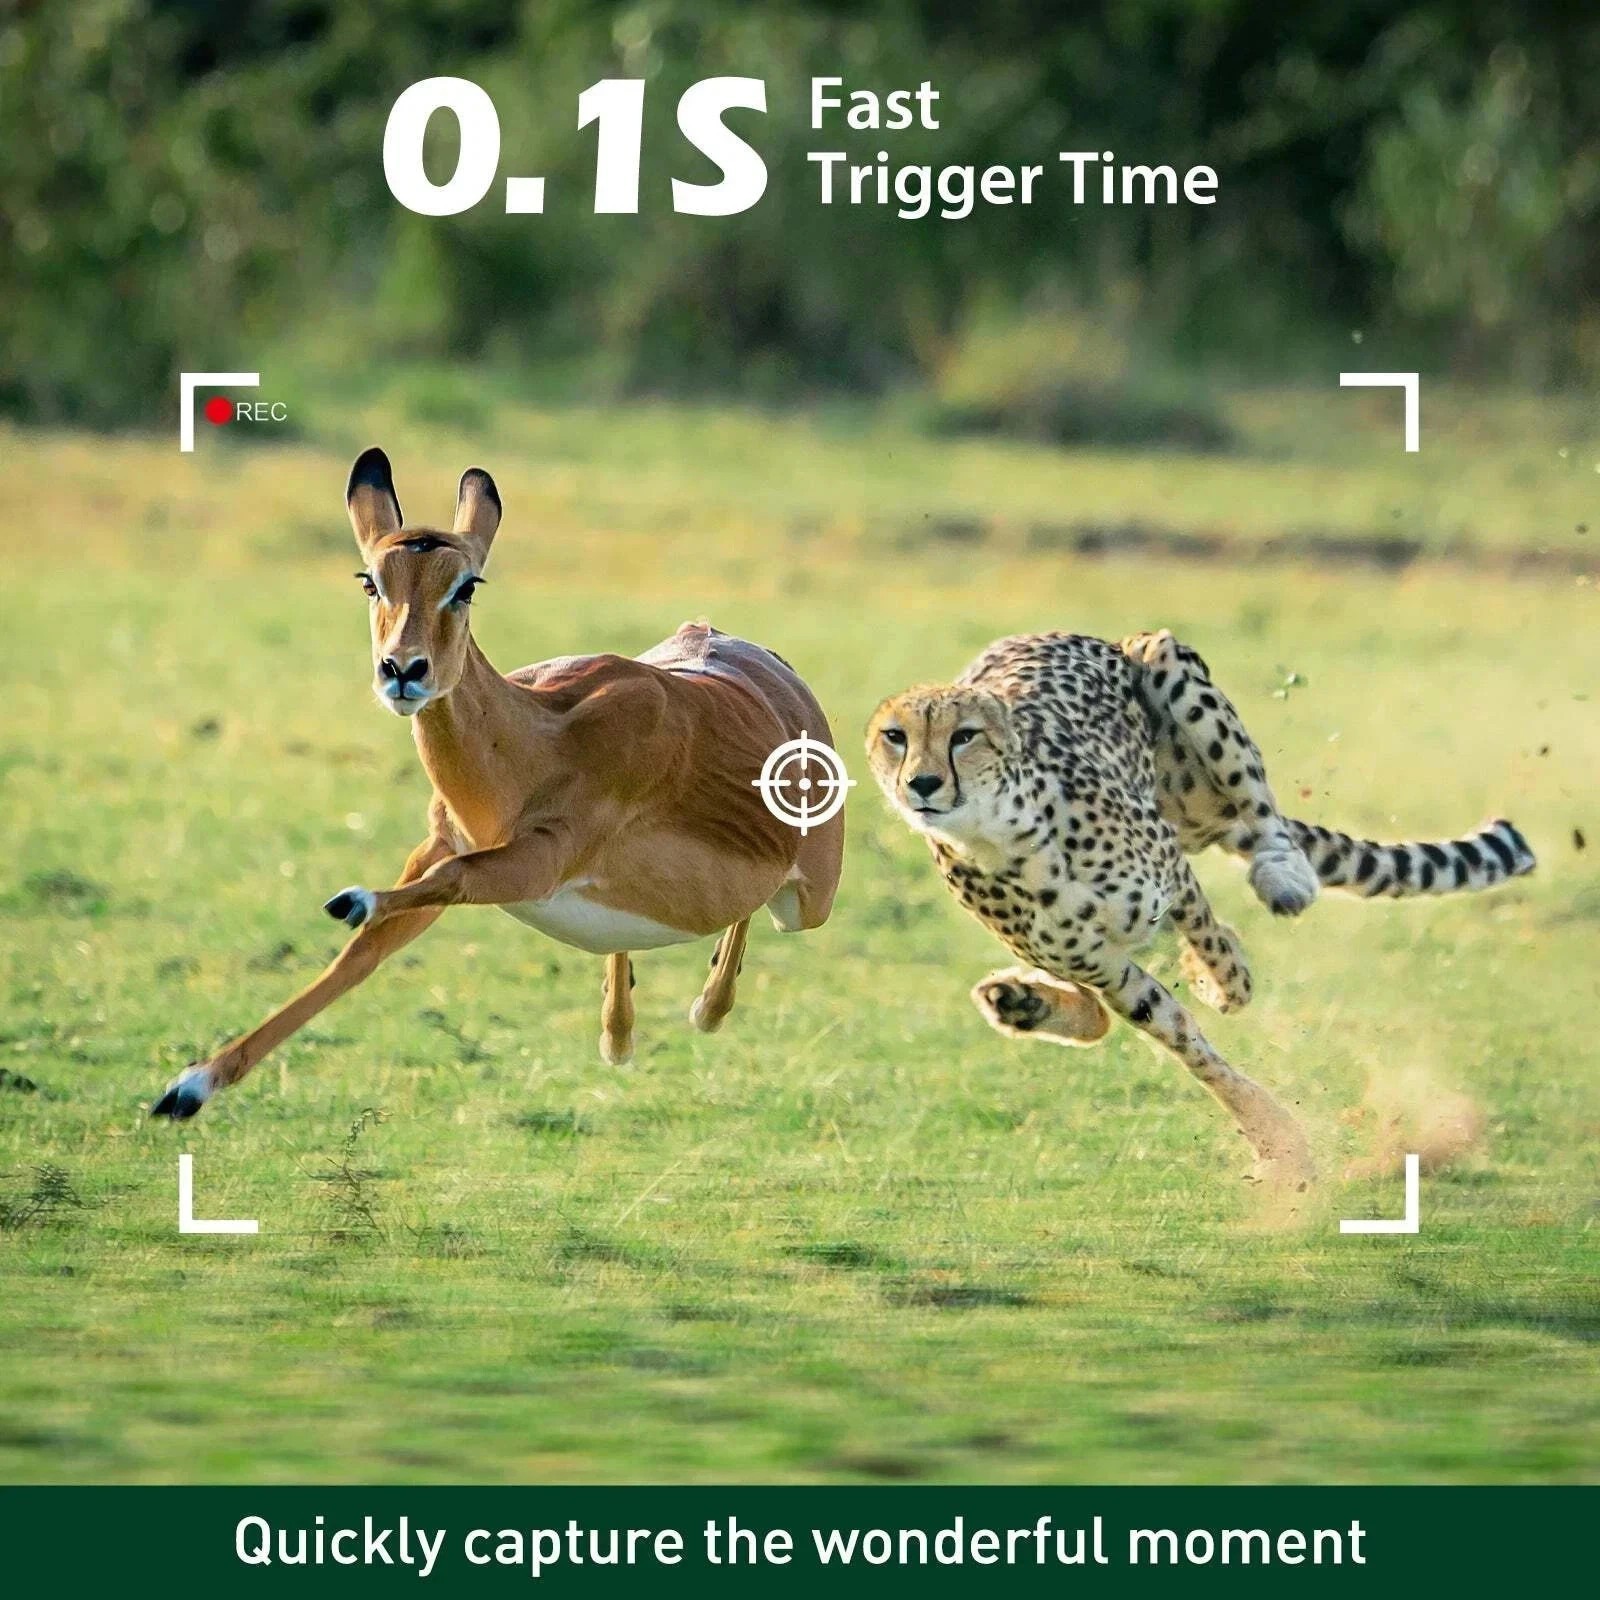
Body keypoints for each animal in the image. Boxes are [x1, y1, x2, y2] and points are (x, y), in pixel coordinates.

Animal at [151, 448, 844, 1119]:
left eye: (466, 585)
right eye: (371, 580)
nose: (403, 670)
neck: (535, 743)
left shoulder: (538, 861)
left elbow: (442, 883)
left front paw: (353, 898)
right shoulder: (441, 845)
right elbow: (361, 956)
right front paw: (187, 1088)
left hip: (807, 905)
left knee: (755, 912)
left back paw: (703, 1011)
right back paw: (618, 1037)